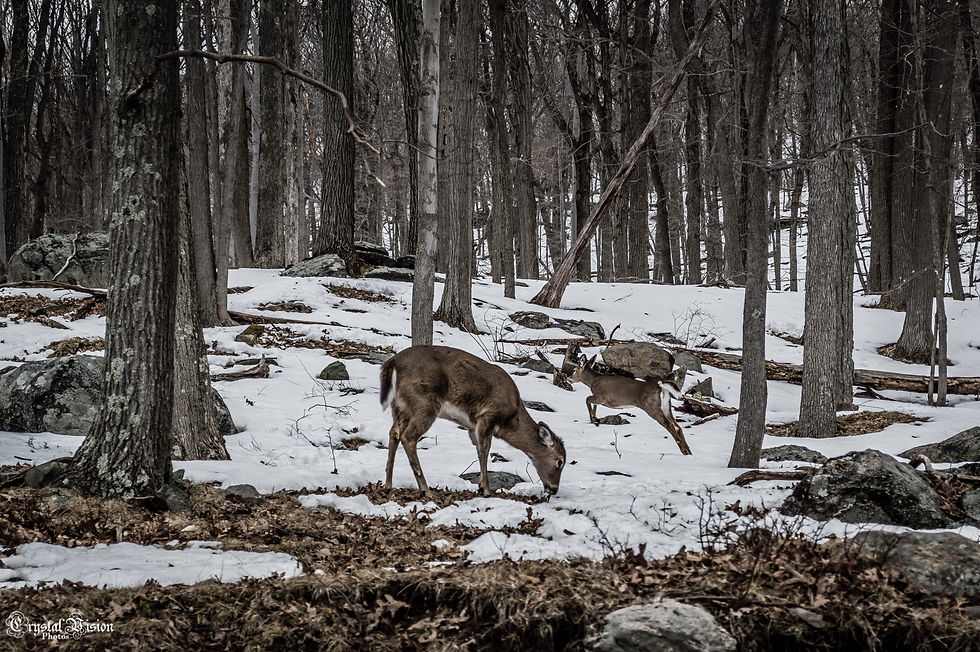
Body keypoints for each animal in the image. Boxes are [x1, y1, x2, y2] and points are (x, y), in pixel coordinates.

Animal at [379, 345, 567, 497]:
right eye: (560, 461)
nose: (554, 489)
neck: (511, 419)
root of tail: (392, 363)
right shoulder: (487, 416)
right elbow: (484, 451)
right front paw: (486, 489)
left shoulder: (472, 426)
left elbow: (478, 450)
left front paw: (481, 487)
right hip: (424, 402)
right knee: (408, 437)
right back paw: (425, 490)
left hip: (399, 406)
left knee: (394, 433)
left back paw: (388, 485)